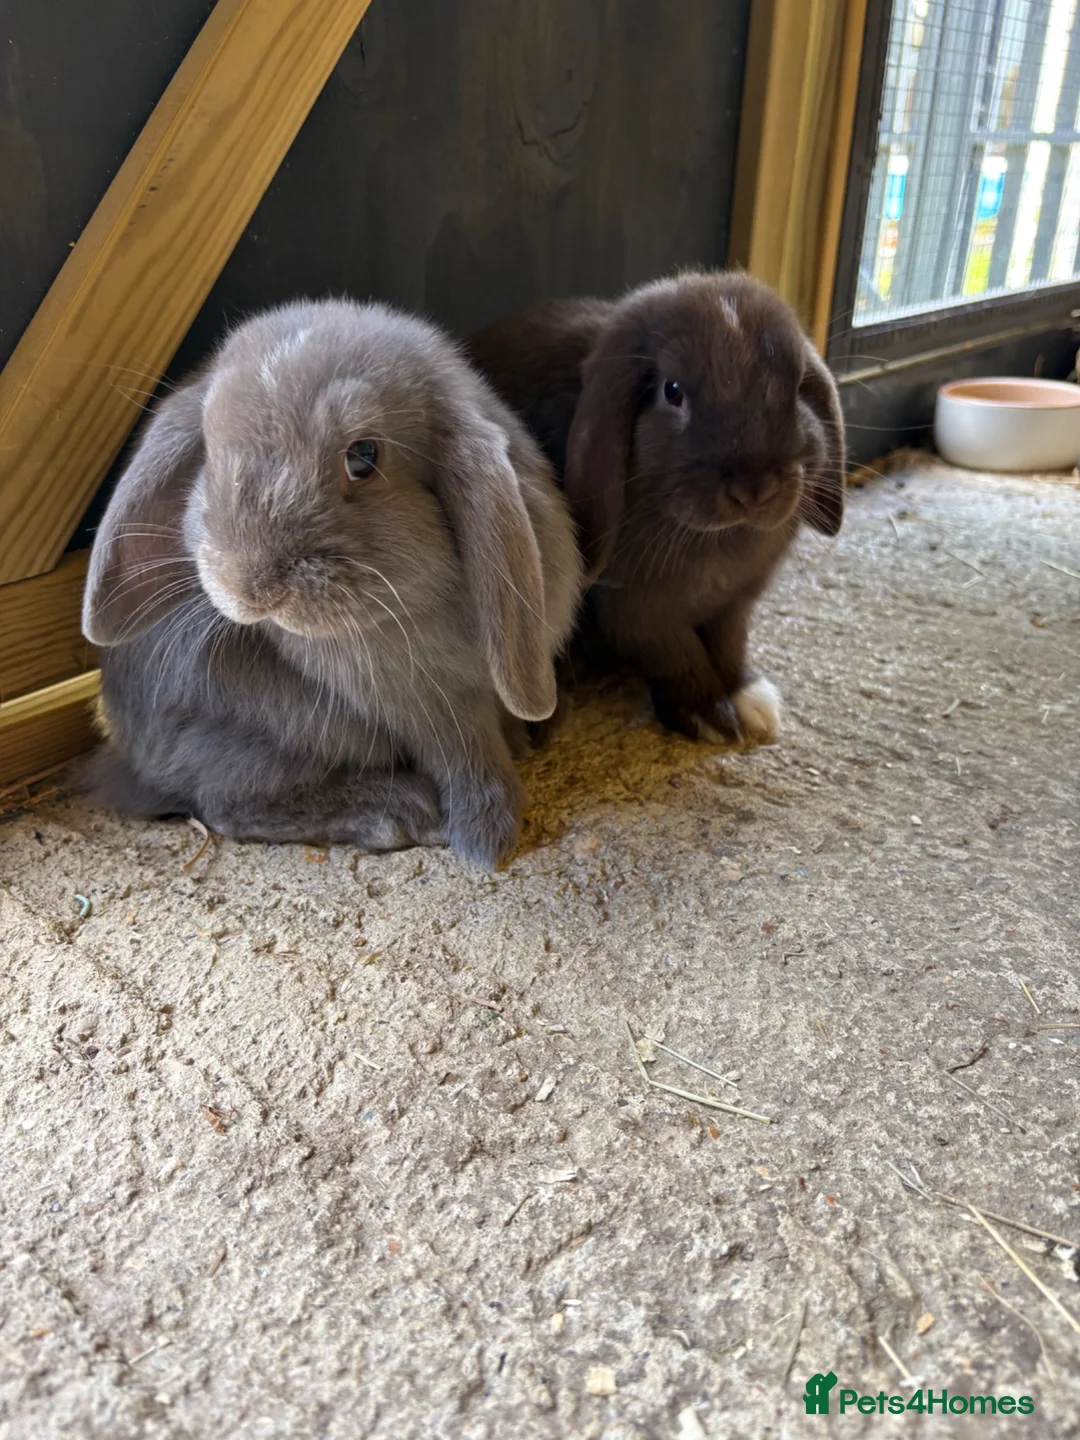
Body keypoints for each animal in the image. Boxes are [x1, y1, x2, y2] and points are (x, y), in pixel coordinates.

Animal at [81, 298, 582, 869]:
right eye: (209, 453)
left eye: (363, 456)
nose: (251, 590)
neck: (405, 610)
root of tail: (127, 756)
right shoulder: (426, 707)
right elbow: (466, 755)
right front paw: (488, 839)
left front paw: (520, 749)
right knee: (225, 803)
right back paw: (397, 812)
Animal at [467, 269, 845, 744]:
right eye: (672, 391)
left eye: (796, 388)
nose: (754, 488)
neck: (718, 541)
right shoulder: (639, 614)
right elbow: (678, 657)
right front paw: (711, 719)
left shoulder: (735, 605)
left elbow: (729, 646)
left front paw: (750, 700)